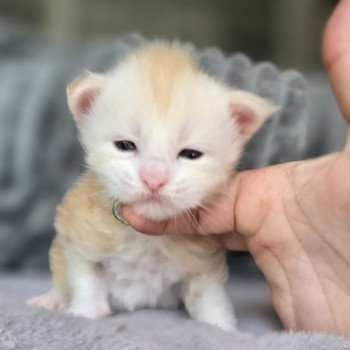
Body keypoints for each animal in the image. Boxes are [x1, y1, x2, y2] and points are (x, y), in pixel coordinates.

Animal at [27, 41, 274, 330]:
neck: (145, 240)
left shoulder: (204, 263)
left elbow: (209, 297)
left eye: (191, 154)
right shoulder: (77, 235)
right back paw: (51, 299)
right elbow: (85, 277)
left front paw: (221, 326)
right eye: (125, 145)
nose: (154, 179)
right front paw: (84, 312)